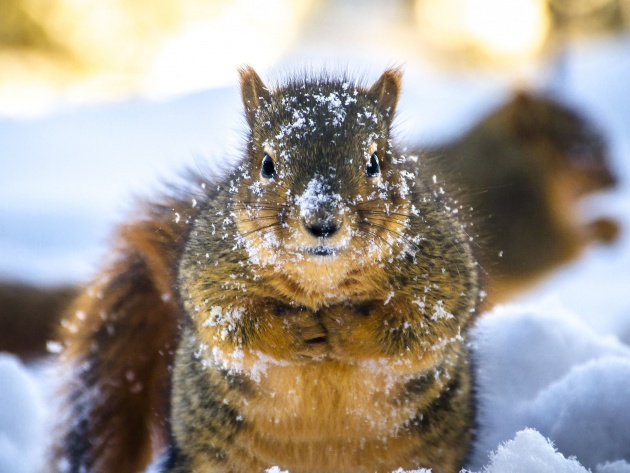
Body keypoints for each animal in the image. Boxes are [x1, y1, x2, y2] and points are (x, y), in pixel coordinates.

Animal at [49, 67, 482, 472]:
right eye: (267, 164)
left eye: (375, 162)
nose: (322, 222)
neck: (322, 280)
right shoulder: (207, 270)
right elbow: (233, 324)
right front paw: (296, 332)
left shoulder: (445, 274)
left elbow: (420, 328)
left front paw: (344, 326)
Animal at [422, 93, 620, 302]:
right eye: (578, 151)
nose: (616, 180)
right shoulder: (522, 217)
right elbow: (558, 248)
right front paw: (606, 228)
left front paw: (608, 226)